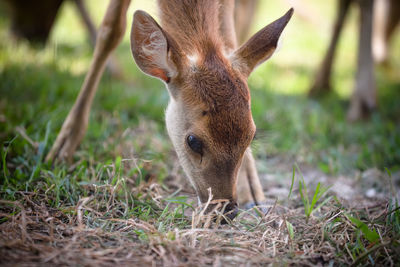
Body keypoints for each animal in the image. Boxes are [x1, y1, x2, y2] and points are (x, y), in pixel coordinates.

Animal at [44, 0, 294, 220]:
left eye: (251, 136)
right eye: (193, 141)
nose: (226, 212)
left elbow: (229, 37)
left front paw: (252, 192)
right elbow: (110, 30)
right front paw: (62, 148)